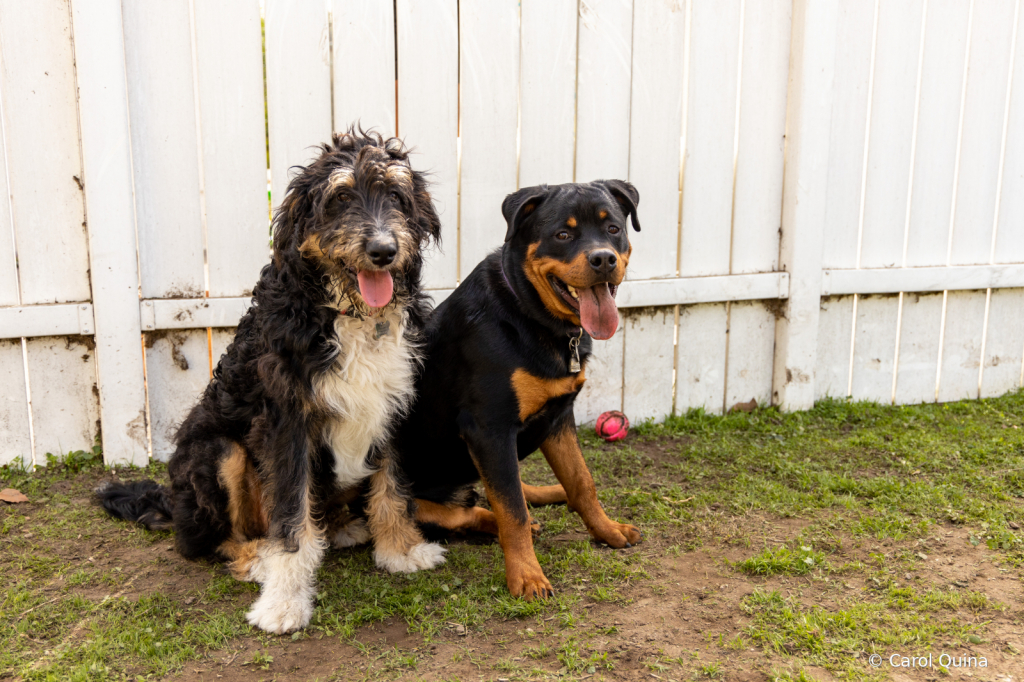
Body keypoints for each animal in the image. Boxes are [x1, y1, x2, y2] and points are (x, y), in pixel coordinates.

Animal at [97, 129, 446, 630]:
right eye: (341, 198)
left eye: (396, 196)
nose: (383, 251)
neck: (347, 315)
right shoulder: (286, 424)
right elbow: (291, 517)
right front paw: (284, 600)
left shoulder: (393, 405)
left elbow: (392, 488)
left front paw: (401, 550)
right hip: (217, 453)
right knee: (208, 542)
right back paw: (257, 558)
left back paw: (342, 526)